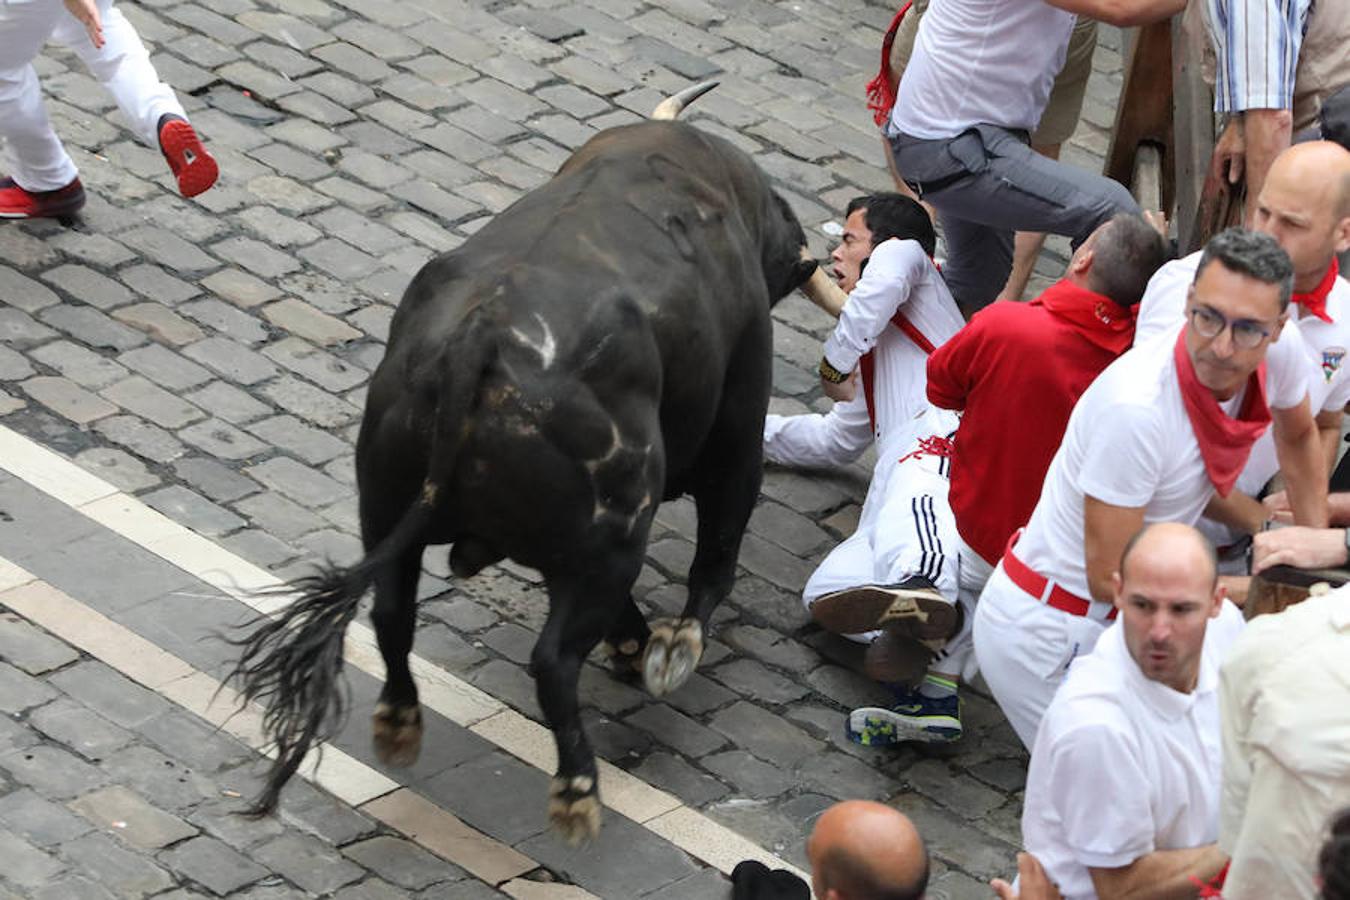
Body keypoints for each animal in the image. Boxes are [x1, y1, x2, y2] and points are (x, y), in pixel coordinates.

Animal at [229, 100, 810, 847]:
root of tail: (482, 334)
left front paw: (638, 644)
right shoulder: (738, 429)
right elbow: (717, 555)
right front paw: (671, 648)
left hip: (385, 506)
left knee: (392, 613)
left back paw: (399, 722)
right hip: (618, 526)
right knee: (553, 662)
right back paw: (578, 790)